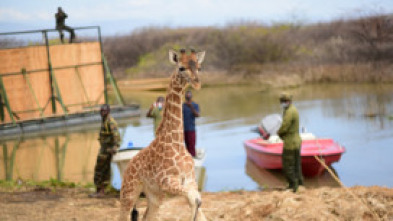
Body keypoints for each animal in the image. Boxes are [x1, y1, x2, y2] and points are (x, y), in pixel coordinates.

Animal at [118, 48, 205, 221]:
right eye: (181, 68)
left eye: (198, 67)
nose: (197, 83)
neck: (177, 141)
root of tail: (128, 165)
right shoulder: (167, 181)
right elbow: (194, 200)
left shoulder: (190, 180)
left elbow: (197, 202)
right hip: (129, 192)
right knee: (123, 215)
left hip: (155, 195)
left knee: (147, 216)